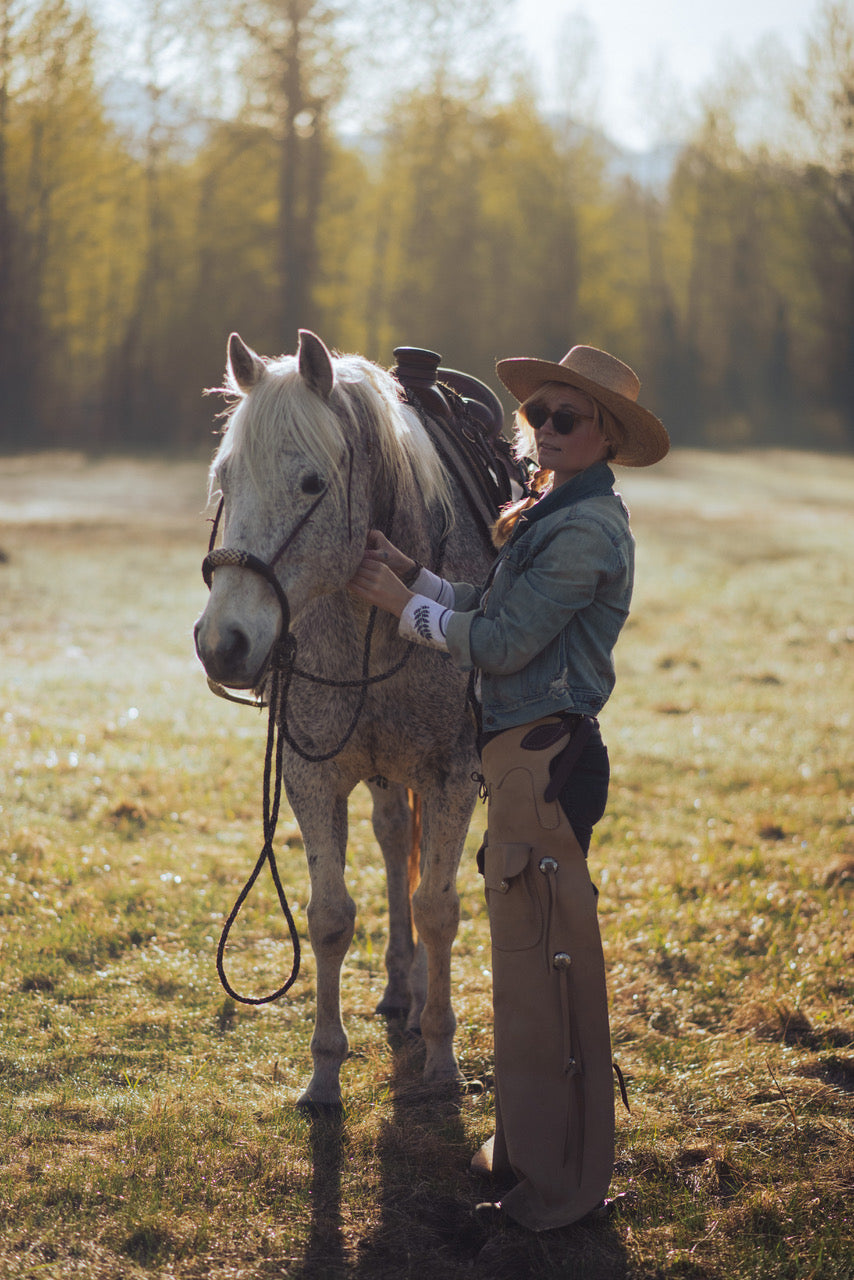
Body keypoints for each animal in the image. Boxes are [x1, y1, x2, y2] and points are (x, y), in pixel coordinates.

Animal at [194, 330, 500, 1109]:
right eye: (224, 480)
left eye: (311, 485)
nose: (222, 643)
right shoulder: (312, 773)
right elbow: (330, 918)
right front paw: (324, 1071)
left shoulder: (453, 773)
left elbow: (438, 908)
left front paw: (443, 1058)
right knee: (394, 842)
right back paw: (398, 987)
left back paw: (417, 998)